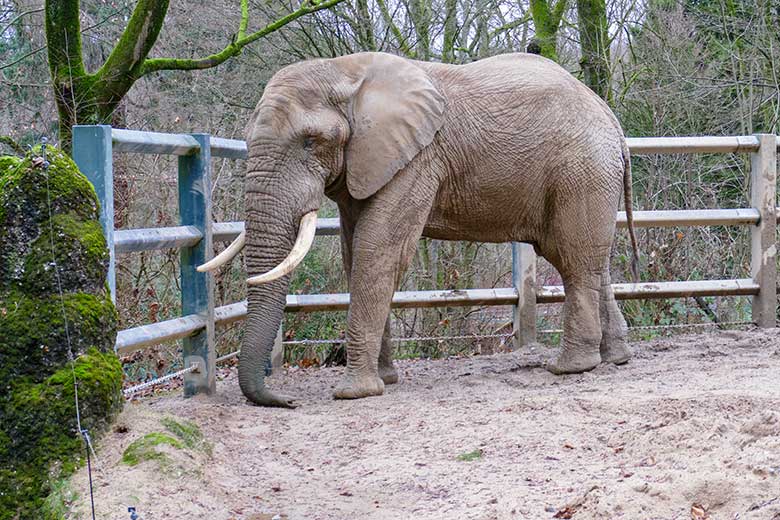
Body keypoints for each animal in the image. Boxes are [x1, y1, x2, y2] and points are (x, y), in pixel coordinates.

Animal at [200, 50, 640, 408]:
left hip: (581, 170)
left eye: (310, 141)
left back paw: (569, 368)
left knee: (575, 261)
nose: (287, 401)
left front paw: (355, 393)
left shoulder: (419, 159)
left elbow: (377, 251)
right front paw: (385, 380)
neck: (346, 72)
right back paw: (615, 358)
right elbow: (353, 253)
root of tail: (612, 121)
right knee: (588, 262)